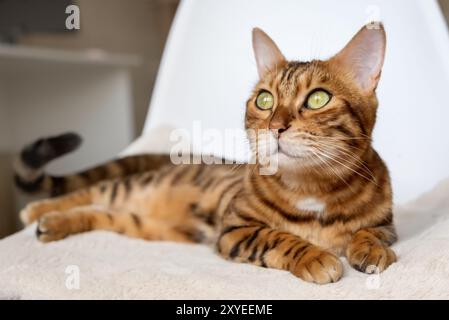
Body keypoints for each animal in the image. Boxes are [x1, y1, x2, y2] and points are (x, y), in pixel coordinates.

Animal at [14, 23, 396, 284]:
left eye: (318, 98)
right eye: (265, 100)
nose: (276, 126)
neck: (312, 188)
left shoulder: (385, 223)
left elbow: (371, 232)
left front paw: (371, 248)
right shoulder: (236, 229)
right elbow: (279, 236)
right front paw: (314, 256)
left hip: (143, 225)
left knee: (100, 213)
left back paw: (55, 224)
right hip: (137, 188)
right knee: (91, 192)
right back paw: (40, 212)